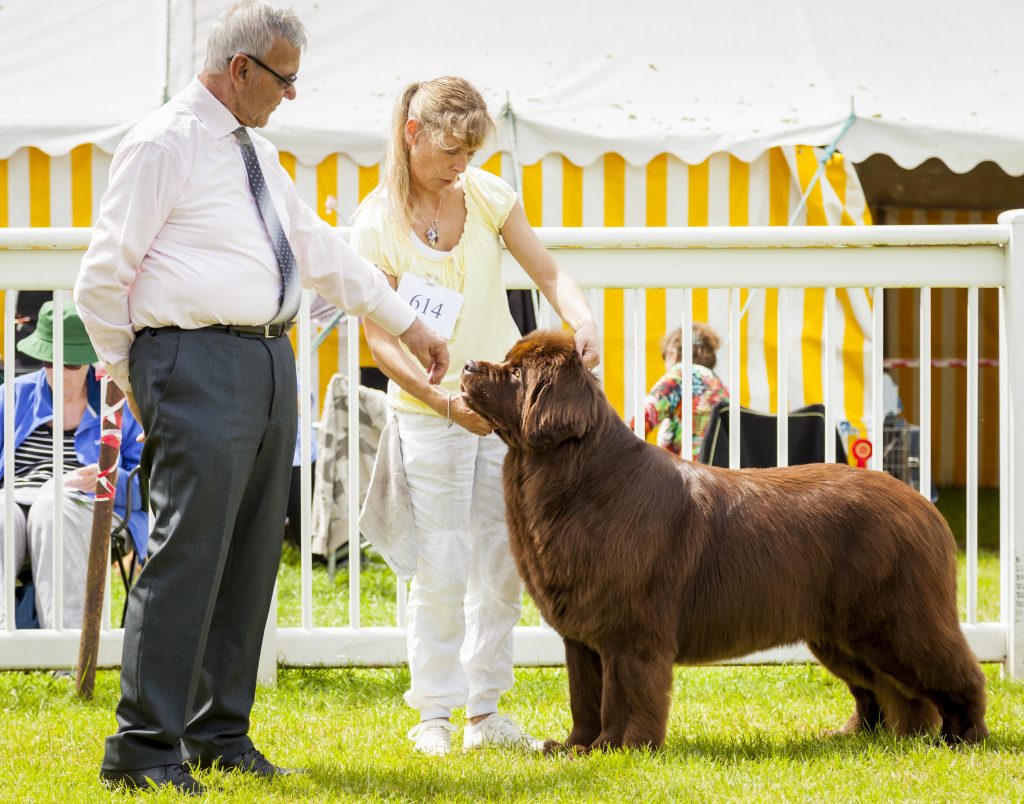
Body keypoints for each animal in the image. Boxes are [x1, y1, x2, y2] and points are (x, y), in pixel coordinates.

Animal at [460, 327, 987, 753]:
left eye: (514, 373)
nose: (465, 365)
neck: (579, 479)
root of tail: (924, 507)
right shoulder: (582, 639)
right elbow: (584, 699)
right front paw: (572, 748)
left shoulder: (629, 634)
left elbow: (621, 698)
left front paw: (618, 749)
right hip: (842, 633)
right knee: (881, 690)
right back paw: (856, 735)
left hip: (897, 621)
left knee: (955, 674)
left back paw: (962, 738)